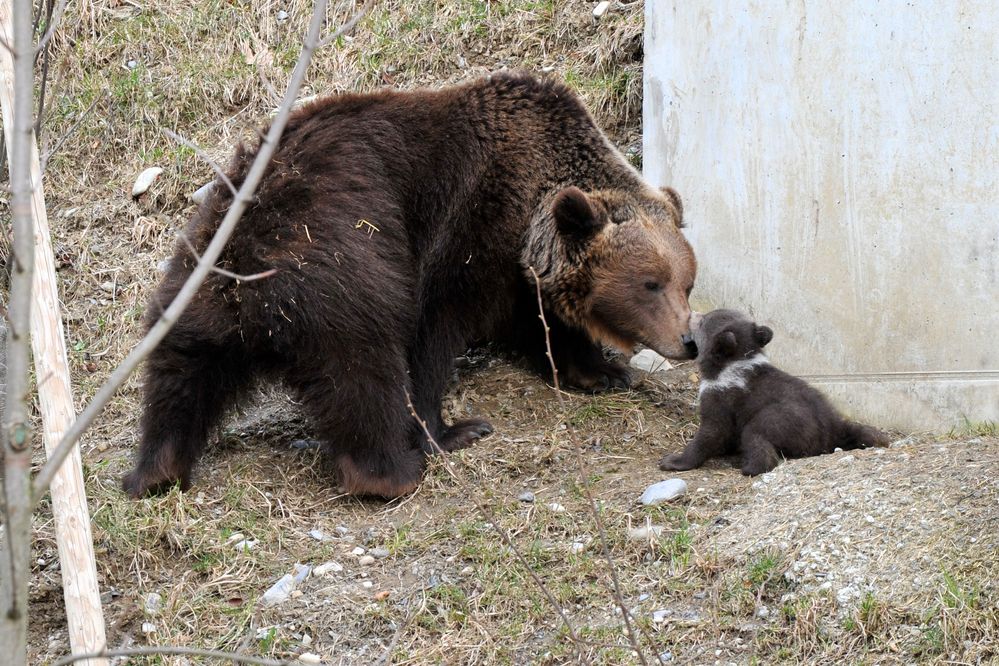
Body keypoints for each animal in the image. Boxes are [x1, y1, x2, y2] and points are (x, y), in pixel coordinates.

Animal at [125, 72, 700, 498]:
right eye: (651, 283)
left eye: (686, 283)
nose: (688, 341)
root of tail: (250, 283)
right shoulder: (472, 227)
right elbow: (436, 329)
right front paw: (445, 429)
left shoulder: (517, 266)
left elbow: (542, 325)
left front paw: (600, 371)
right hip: (337, 272)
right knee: (364, 373)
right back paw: (393, 473)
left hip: (198, 282)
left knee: (178, 377)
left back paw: (155, 470)